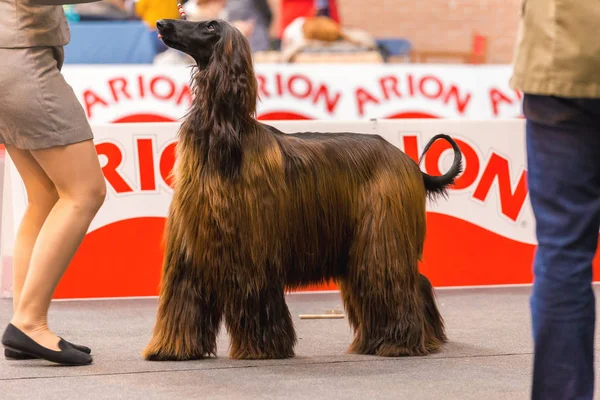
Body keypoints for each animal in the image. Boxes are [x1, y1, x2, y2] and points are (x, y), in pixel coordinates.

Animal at [144, 18, 464, 360]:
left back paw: (399, 342)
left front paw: (262, 348)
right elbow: (183, 298)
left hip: (381, 236)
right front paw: (172, 348)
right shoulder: (190, 246)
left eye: (210, 26)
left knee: (397, 283)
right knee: (413, 283)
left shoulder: (252, 247)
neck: (224, 139)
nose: (163, 24)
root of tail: (409, 161)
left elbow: (256, 298)